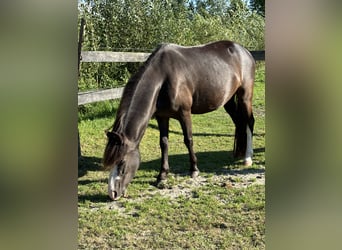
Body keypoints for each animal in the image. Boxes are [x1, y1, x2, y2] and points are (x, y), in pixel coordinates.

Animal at [103, 41, 255, 201]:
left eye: (122, 163)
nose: (112, 193)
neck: (163, 78)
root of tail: (243, 50)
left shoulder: (184, 113)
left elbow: (188, 140)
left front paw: (194, 170)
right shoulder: (162, 116)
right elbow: (163, 143)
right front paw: (162, 176)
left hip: (245, 95)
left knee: (249, 122)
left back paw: (248, 158)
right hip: (229, 100)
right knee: (239, 122)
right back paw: (239, 153)